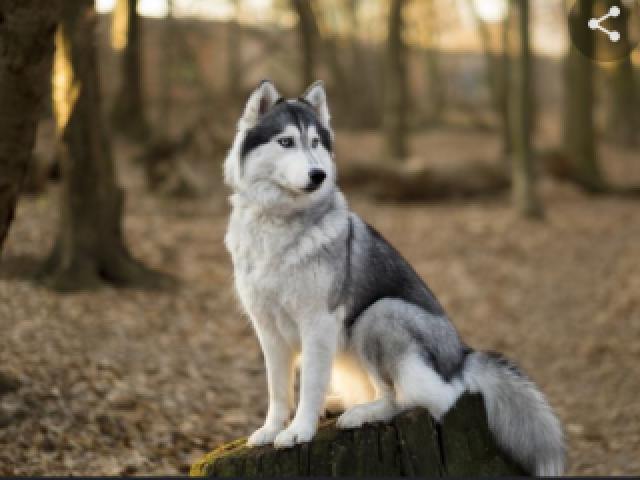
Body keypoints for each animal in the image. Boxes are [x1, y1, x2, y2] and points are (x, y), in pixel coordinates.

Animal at [224, 80, 564, 474]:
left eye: (315, 143)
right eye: (285, 142)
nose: (318, 175)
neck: (279, 225)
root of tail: (462, 356)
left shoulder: (318, 323)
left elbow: (308, 386)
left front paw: (299, 431)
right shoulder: (268, 329)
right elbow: (278, 390)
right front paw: (271, 429)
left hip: (380, 314)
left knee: (417, 398)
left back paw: (363, 413)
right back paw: (343, 404)